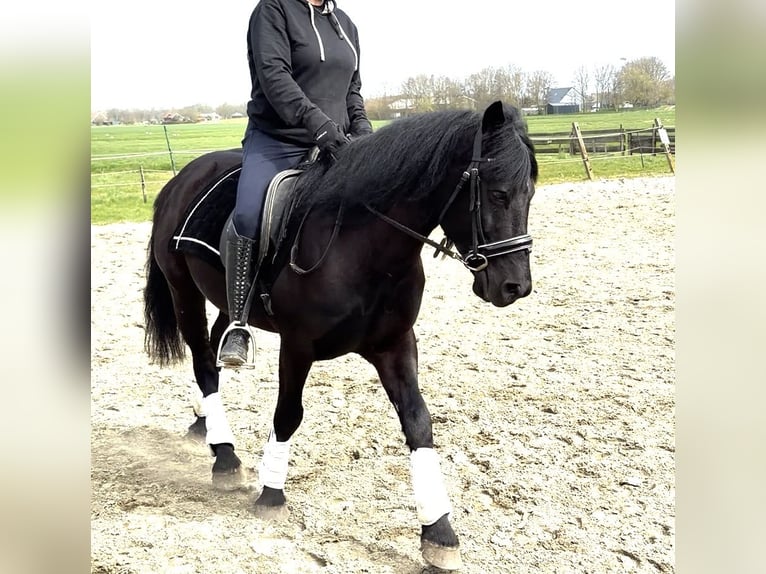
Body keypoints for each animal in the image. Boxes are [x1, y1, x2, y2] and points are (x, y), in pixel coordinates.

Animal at [143, 100, 537, 570]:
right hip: (183, 291)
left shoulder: (395, 344)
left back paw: (204, 422)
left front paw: (438, 531)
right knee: (203, 361)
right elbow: (287, 414)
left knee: (220, 348)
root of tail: (182, 178)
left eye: (530, 193)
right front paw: (271, 495)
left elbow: (418, 423)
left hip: (226, 301)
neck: (363, 248)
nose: (516, 287)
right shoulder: (297, 346)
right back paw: (224, 456)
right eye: (496, 193)